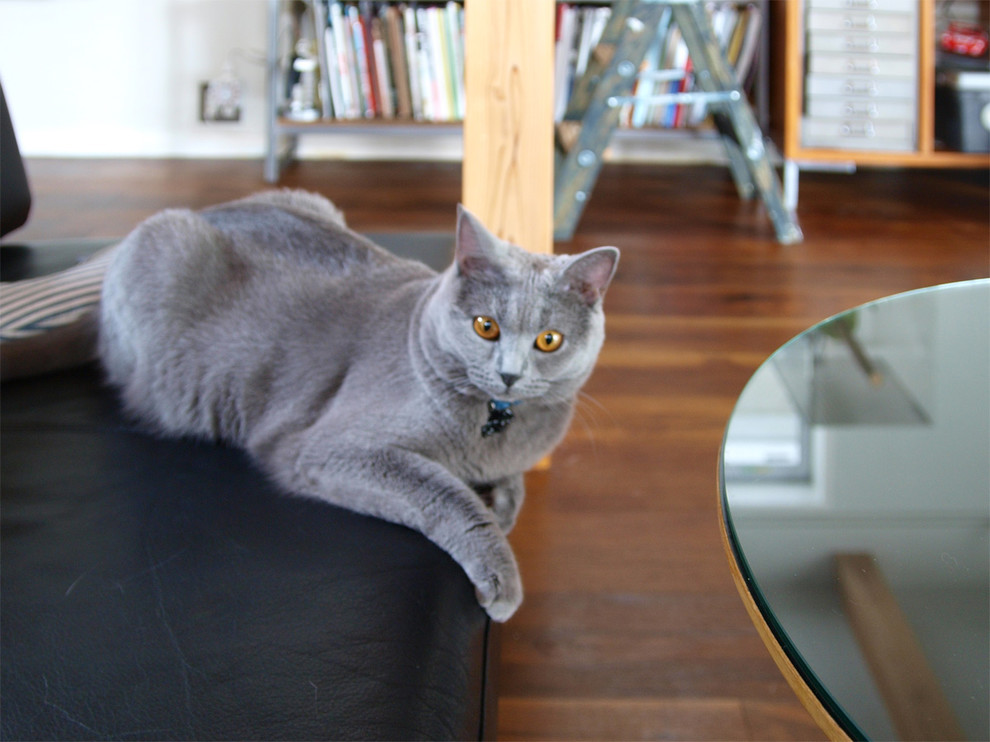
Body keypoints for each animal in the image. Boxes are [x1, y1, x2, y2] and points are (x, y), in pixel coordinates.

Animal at [15, 192, 620, 620]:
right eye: (485, 327)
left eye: (548, 341)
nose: (510, 373)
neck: (495, 424)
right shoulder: (330, 450)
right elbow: (445, 495)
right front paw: (498, 570)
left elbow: (513, 485)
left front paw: (503, 504)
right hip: (165, 252)